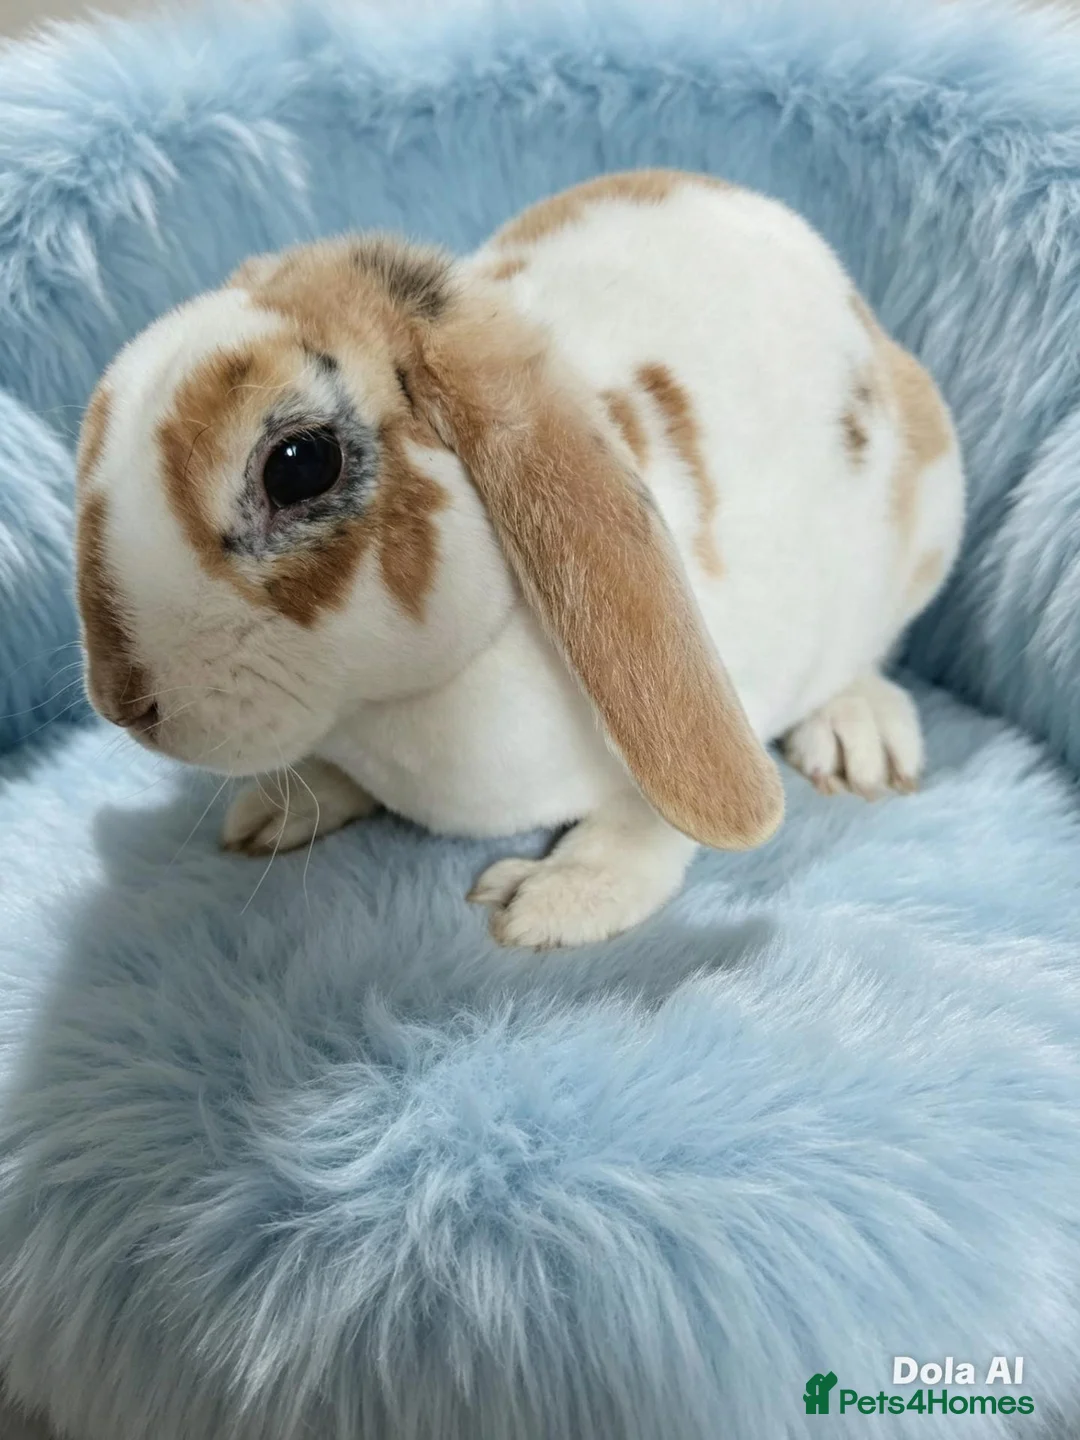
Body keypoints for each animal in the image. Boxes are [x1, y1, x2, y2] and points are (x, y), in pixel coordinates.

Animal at [75, 169, 964, 948]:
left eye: (299, 465)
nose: (123, 705)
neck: (399, 706)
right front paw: (278, 811)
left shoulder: (732, 685)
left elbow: (648, 819)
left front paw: (554, 898)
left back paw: (859, 737)